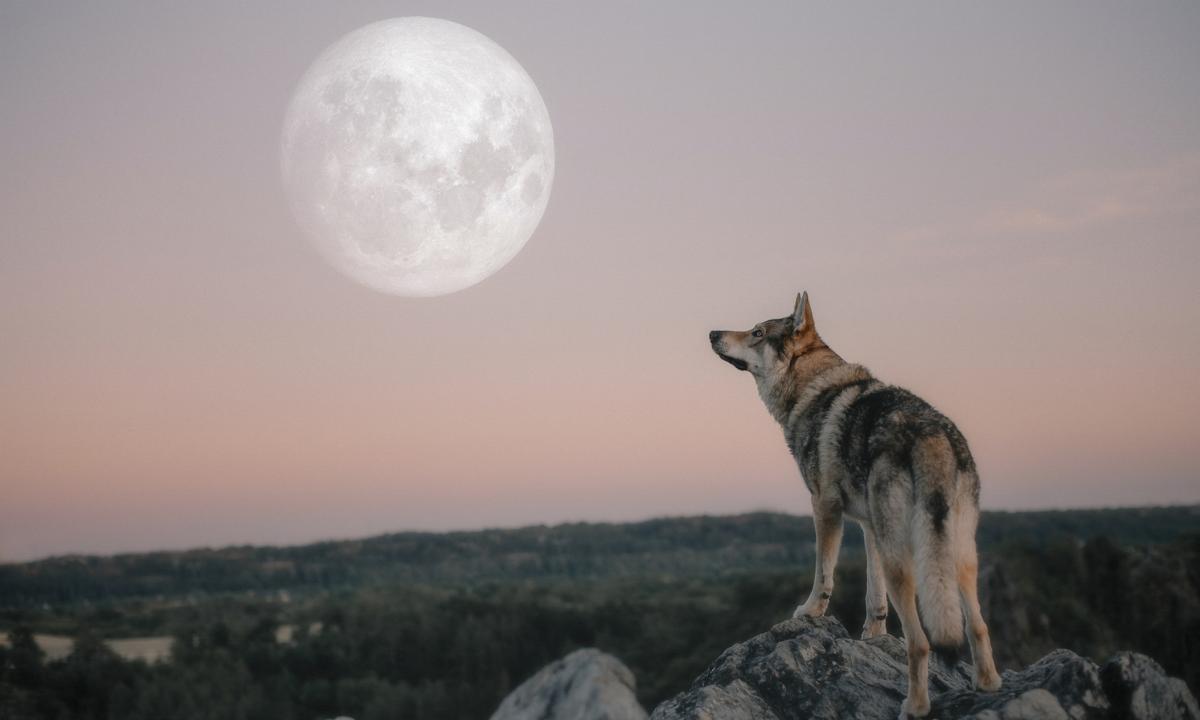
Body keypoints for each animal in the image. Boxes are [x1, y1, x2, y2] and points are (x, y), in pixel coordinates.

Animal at [709, 292, 1002, 718]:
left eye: (757, 332)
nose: (712, 333)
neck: (810, 389)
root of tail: (930, 435)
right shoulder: (868, 526)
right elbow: (872, 594)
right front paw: (873, 634)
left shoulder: (824, 507)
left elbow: (823, 574)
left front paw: (810, 612)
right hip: (960, 556)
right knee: (977, 625)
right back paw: (988, 684)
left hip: (906, 563)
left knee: (920, 642)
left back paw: (914, 705)